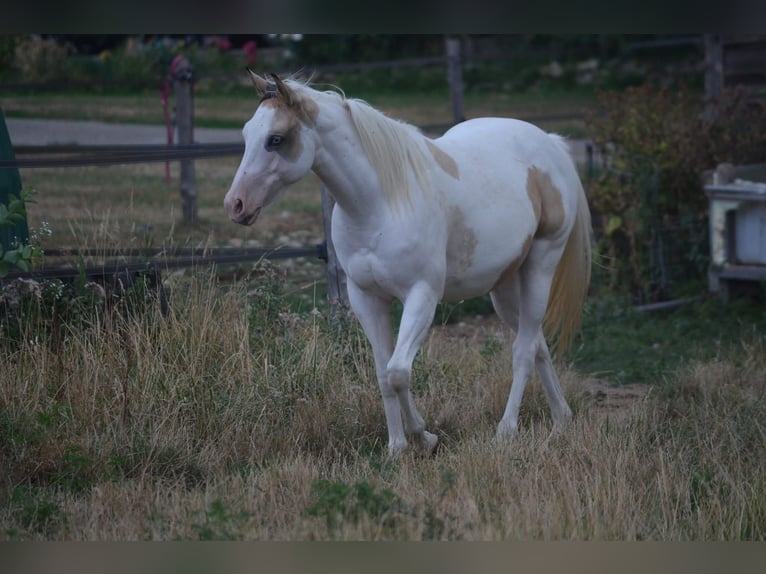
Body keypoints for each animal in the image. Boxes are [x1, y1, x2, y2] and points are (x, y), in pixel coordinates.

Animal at [224, 72, 592, 456]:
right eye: (247, 134)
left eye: (276, 139)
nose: (235, 204)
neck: (381, 203)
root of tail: (550, 145)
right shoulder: (367, 300)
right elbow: (383, 374)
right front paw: (397, 447)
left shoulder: (421, 296)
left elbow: (399, 371)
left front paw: (424, 437)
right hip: (504, 286)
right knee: (537, 343)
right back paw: (561, 421)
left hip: (540, 266)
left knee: (523, 349)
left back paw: (507, 430)